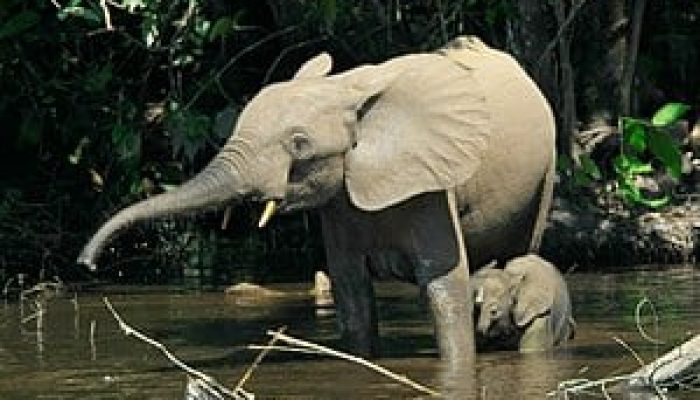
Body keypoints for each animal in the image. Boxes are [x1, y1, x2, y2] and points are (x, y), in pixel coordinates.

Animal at [77, 36, 556, 369]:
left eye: (299, 143)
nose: (87, 264)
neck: (347, 90)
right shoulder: (340, 203)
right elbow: (352, 293)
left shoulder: (431, 186)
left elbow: (443, 288)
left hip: (546, 173)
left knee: (521, 254)